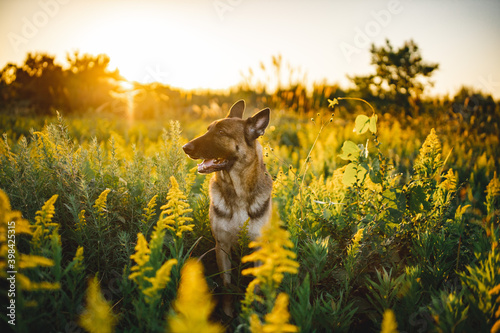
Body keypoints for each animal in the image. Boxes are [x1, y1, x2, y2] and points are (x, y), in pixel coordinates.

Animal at [182, 100, 272, 316]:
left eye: (222, 132)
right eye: (208, 129)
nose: (185, 147)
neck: (237, 192)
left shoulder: (258, 248)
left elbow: (256, 287)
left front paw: (253, 313)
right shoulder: (222, 245)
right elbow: (226, 285)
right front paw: (228, 314)